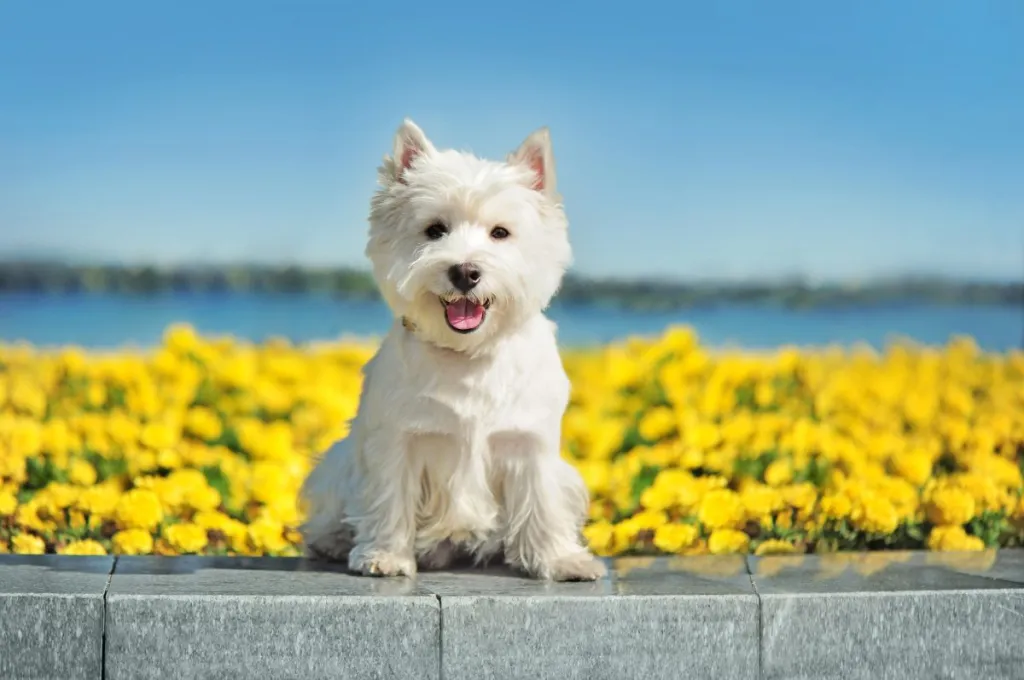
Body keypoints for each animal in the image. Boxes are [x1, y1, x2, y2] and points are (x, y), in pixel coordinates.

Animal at [299, 119, 602, 581]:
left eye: (500, 233)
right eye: (435, 230)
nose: (465, 272)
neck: (469, 355)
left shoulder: (529, 442)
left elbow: (542, 502)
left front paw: (560, 560)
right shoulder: (398, 440)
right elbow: (390, 497)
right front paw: (385, 555)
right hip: (339, 462)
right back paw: (332, 542)